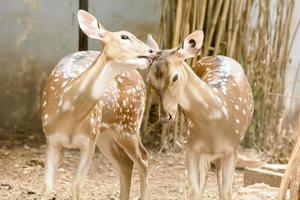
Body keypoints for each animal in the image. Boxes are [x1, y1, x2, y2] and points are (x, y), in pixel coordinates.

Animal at [40, 10, 155, 200]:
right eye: (124, 36)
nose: (152, 51)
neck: (67, 116)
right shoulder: (51, 138)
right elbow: (48, 186)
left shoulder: (89, 140)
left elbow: (76, 186)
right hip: (105, 134)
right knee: (125, 163)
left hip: (128, 125)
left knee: (143, 158)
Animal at [147, 30, 253, 199]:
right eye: (149, 81)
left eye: (175, 77)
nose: (165, 115)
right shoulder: (191, 147)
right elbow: (193, 190)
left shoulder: (232, 149)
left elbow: (226, 192)